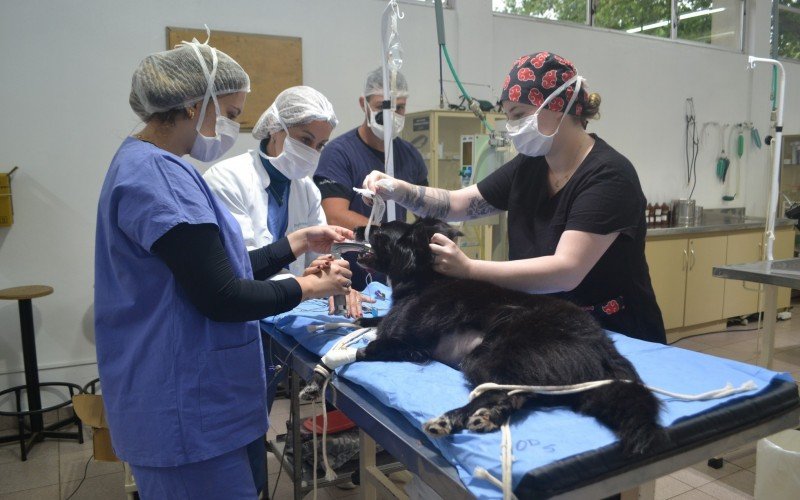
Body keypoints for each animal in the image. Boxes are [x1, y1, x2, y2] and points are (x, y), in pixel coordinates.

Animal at [306, 217, 664, 456]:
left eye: (379, 232)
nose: (352, 229)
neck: (423, 277)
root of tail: (601, 344)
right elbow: (369, 323)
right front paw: (353, 320)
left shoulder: (405, 344)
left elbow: (361, 350)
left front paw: (325, 370)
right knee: (516, 396)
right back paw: (489, 418)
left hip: (491, 354)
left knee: (498, 392)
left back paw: (451, 419)